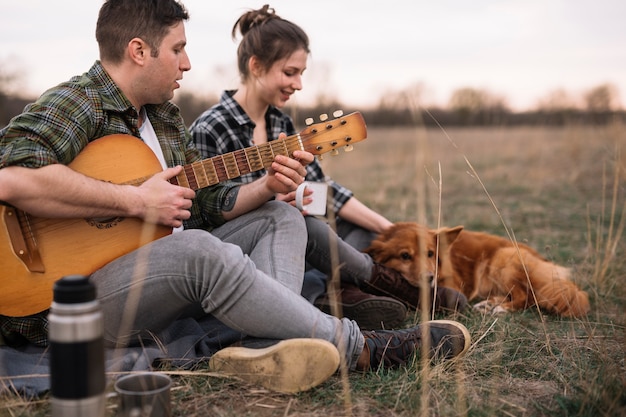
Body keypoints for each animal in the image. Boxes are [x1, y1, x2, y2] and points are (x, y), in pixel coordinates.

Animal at [364, 223, 588, 316]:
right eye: (405, 256)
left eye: (430, 253)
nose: (430, 278)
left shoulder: (453, 285)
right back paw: (490, 303)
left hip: (502, 258)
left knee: (526, 296)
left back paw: (501, 308)